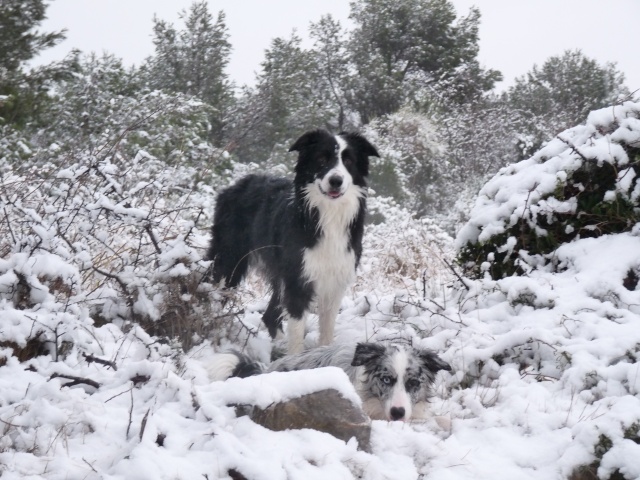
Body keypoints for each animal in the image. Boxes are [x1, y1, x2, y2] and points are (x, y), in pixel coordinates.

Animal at [205, 129, 378, 354]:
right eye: (321, 159)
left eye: (348, 161)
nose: (336, 181)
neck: (326, 216)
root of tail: (233, 187)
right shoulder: (298, 280)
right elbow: (296, 332)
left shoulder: (333, 281)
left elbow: (327, 329)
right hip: (229, 260)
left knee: (269, 315)